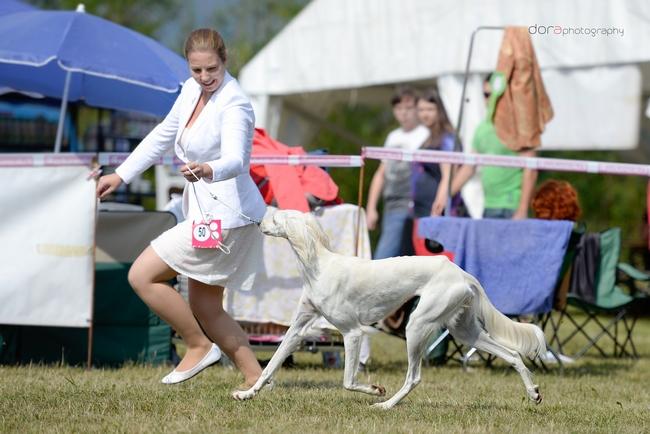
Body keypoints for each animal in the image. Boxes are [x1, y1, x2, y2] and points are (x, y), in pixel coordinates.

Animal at [230, 209, 544, 408]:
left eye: (274, 218)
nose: (257, 223)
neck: (318, 266)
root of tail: (461, 272)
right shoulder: (297, 329)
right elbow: (270, 366)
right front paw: (247, 394)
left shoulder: (353, 332)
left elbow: (348, 381)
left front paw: (373, 389)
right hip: (464, 331)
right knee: (513, 354)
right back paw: (533, 393)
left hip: (417, 325)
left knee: (414, 377)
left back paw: (384, 405)